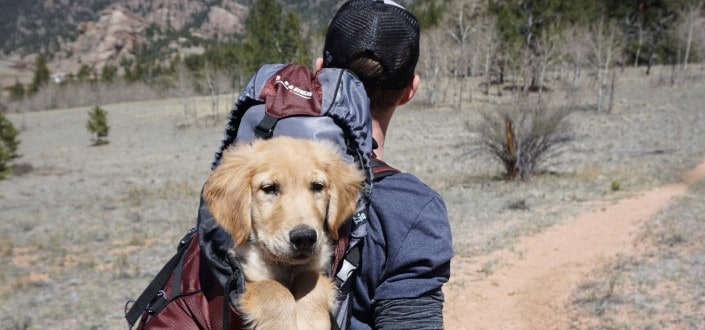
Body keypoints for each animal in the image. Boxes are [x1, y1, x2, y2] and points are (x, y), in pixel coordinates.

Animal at [199, 135, 360, 328]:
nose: (305, 238)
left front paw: (312, 322)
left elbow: (309, 279)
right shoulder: (245, 277)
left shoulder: (316, 268)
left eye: (317, 186)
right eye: (269, 188)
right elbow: (272, 288)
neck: (285, 266)